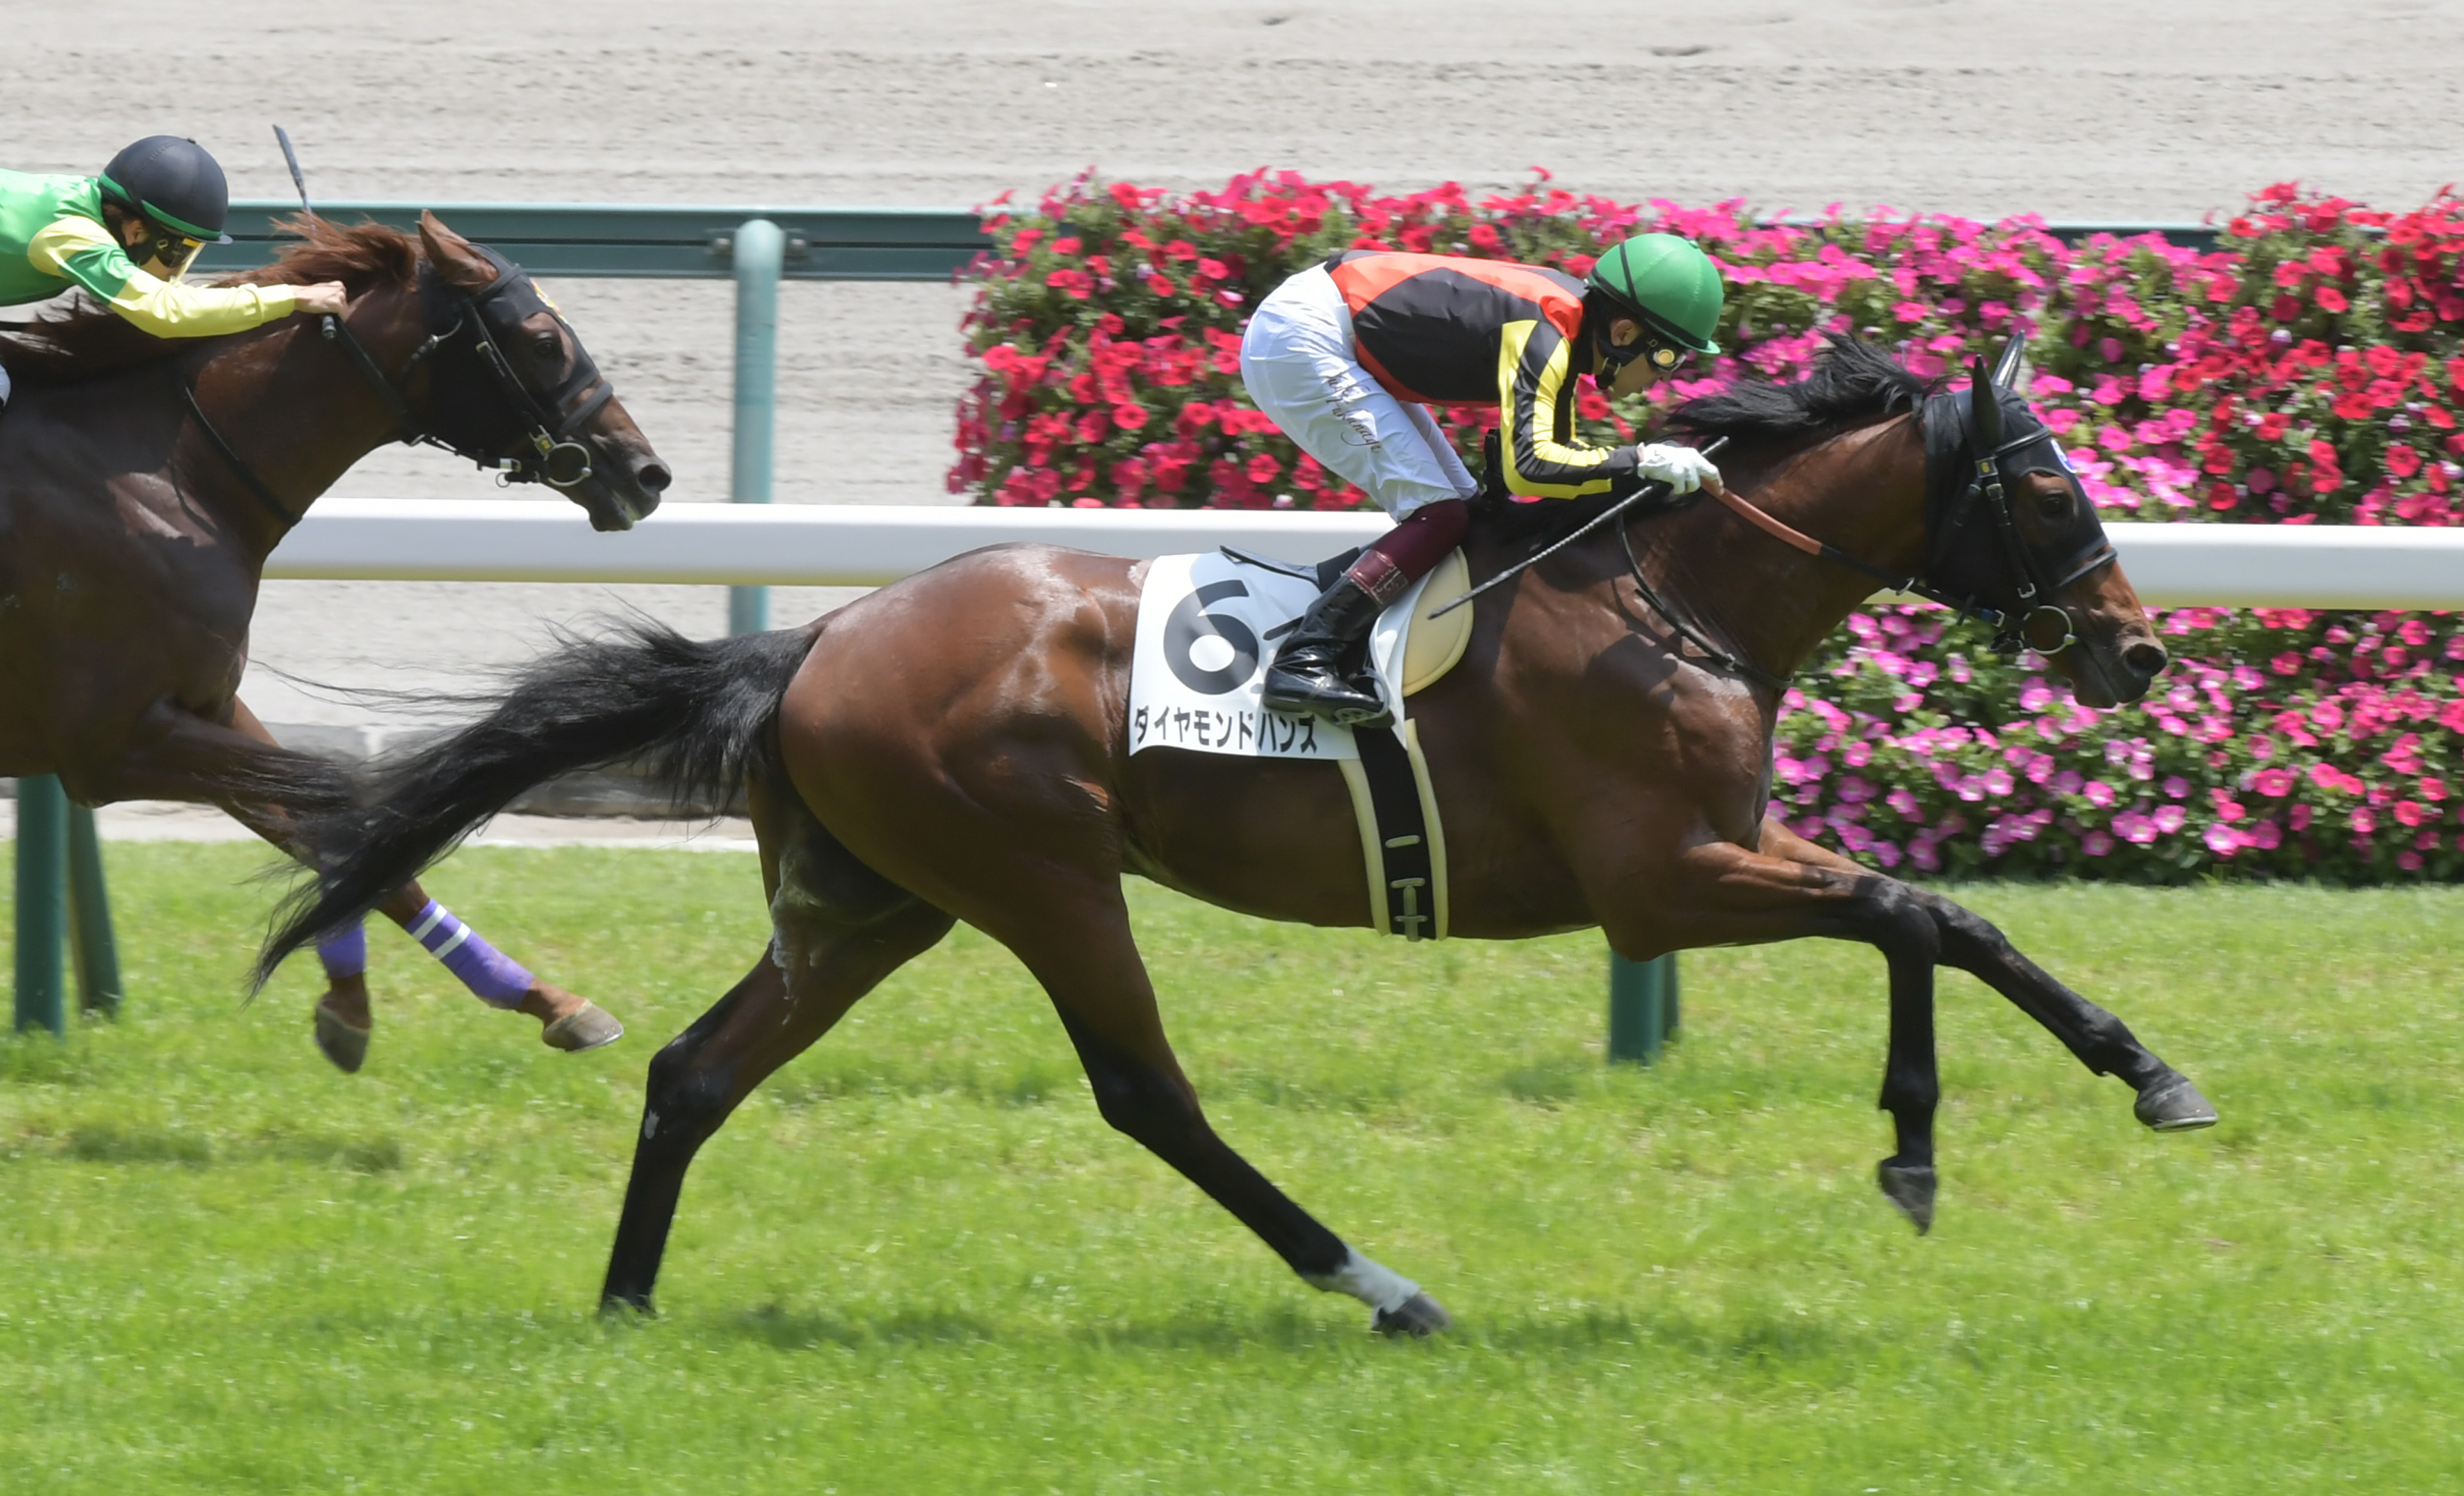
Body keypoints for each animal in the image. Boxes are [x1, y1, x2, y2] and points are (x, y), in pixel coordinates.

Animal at [0, 212, 669, 1066]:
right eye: (545, 339)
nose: (647, 474)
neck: (163, 471)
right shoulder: (110, 744)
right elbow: (335, 802)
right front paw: (348, 991)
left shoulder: (202, 705)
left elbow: (340, 828)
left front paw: (544, 1002)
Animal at [259, 335, 2217, 1335]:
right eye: (2050, 485)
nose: (2132, 647)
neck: (1675, 592)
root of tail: (814, 637)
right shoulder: (1662, 883)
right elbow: (1920, 908)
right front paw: (1970, 1133)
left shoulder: (1699, 869)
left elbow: (1936, 916)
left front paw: (2094, 1089)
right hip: (1037, 873)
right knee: (1149, 1095)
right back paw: (1382, 1283)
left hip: (874, 902)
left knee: (693, 1069)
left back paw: (626, 1307)